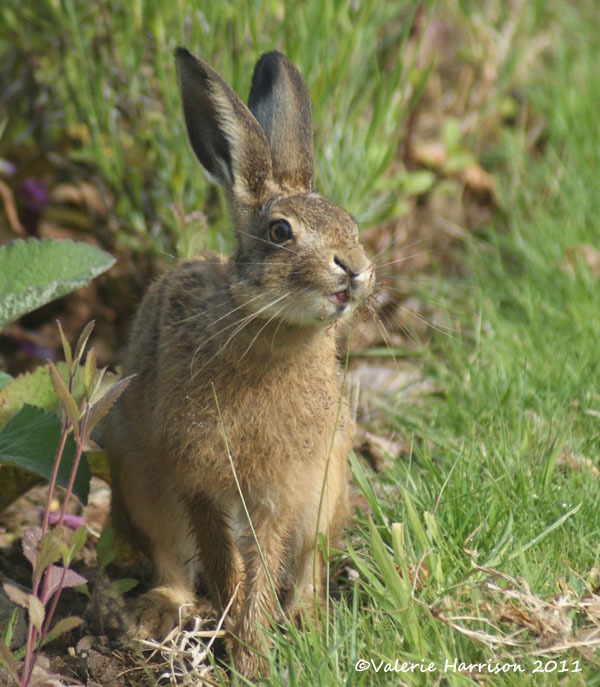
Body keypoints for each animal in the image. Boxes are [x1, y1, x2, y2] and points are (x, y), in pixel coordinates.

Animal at [104, 47, 375, 677]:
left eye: (349, 223)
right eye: (280, 232)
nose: (353, 269)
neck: (273, 333)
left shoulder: (283, 489)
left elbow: (264, 565)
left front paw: (253, 654)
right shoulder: (196, 475)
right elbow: (224, 560)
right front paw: (242, 645)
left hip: (329, 486)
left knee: (309, 564)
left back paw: (308, 619)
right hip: (138, 480)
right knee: (172, 561)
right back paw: (157, 614)